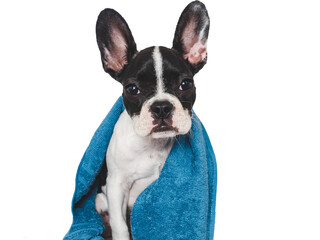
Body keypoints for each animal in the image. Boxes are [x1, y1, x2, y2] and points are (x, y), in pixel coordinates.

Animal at [94, 0, 210, 239]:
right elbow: (120, 225)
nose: (161, 107)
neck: (152, 145)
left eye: (186, 84)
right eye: (132, 89)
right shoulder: (116, 184)